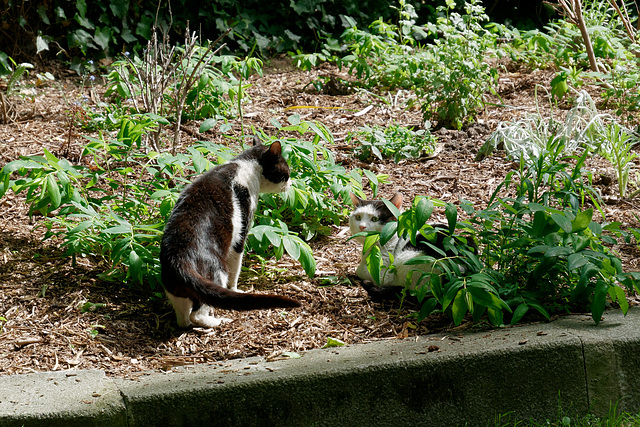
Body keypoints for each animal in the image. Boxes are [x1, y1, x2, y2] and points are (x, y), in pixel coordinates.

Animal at [160, 135, 300, 330]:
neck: (246, 166)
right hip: (218, 271)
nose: (291, 183)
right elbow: (236, 268)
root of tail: (178, 259)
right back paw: (218, 321)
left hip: (174, 289)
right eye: (286, 173)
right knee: (197, 314)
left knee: (184, 318)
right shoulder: (240, 234)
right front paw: (235, 289)